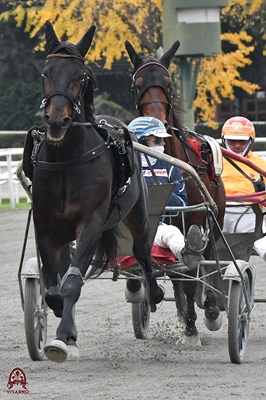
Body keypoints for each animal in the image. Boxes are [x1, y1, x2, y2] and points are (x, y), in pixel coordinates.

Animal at [21, 23, 164, 364]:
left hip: (138, 214)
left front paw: (61, 339)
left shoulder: (91, 222)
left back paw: (152, 292)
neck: (67, 160)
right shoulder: (46, 226)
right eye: (45, 72)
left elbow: (72, 284)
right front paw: (61, 325)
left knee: (142, 251)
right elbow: (54, 288)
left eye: (80, 76)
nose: (56, 120)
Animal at [125, 40, 225, 346]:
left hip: (214, 222)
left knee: (205, 262)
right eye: (137, 85)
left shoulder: (194, 217)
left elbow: (192, 275)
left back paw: (210, 308)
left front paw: (196, 323)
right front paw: (187, 323)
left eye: (168, 83)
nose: (156, 122)